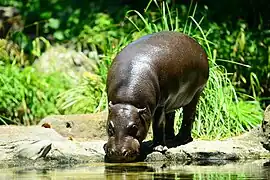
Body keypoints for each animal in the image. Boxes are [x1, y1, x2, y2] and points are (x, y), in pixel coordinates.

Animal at [103, 31, 209, 163]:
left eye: (134, 127)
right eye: (109, 126)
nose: (117, 153)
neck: (127, 101)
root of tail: (197, 44)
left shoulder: (160, 105)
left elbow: (158, 124)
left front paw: (158, 148)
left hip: (196, 93)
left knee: (188, 115)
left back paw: (180, 139)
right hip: (172, 100)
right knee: (170, 116)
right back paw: (169, 138)